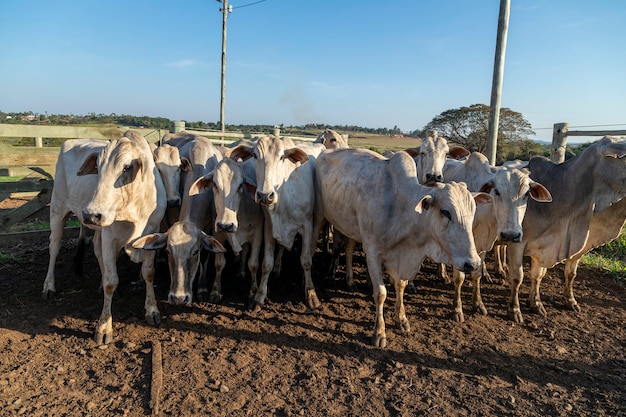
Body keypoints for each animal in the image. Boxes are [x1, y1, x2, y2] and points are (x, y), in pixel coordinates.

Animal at [230, 135, 326, 310]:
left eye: (282, 157)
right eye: (255, 155)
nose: (265, 195)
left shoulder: (307, 226)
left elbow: (306, 260)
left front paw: (311, 294)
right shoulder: (269, 226)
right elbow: (266, 263)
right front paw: (259, 296)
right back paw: (277, 268)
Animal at [314, 148, 486, 346]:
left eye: (473, 211)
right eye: (445, 212)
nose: (473, 263)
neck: (400, 207)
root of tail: (325, 152)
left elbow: (401, 285)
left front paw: (401, 319)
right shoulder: (372, 251)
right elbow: (380, 293)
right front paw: (379, 333)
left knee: (348, 249)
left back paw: (350, 281)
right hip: (326, 219)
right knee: (333, 248)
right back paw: (328, 276)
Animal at [502, 136, 624, 322]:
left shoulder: (570, 246)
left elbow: (554, 275)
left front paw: (542, 303)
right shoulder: (517, 242)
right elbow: (517, 277)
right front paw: (514, 309)